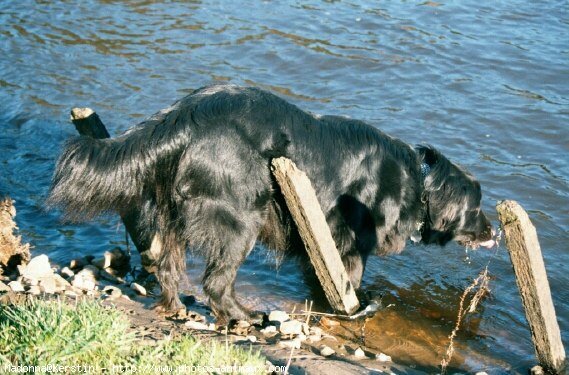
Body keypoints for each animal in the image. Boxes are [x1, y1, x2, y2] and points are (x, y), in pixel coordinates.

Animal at [47, 85, 492, 320]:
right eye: (476, 208)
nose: (493, 232)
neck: (416, 181)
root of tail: (183, 116)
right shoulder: (347, 240)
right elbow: (349, 277)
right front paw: (356, 308)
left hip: (174, 213)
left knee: (166, 264)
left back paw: (176, 307)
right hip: (241, 216)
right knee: (217, 281)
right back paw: (241, 316)